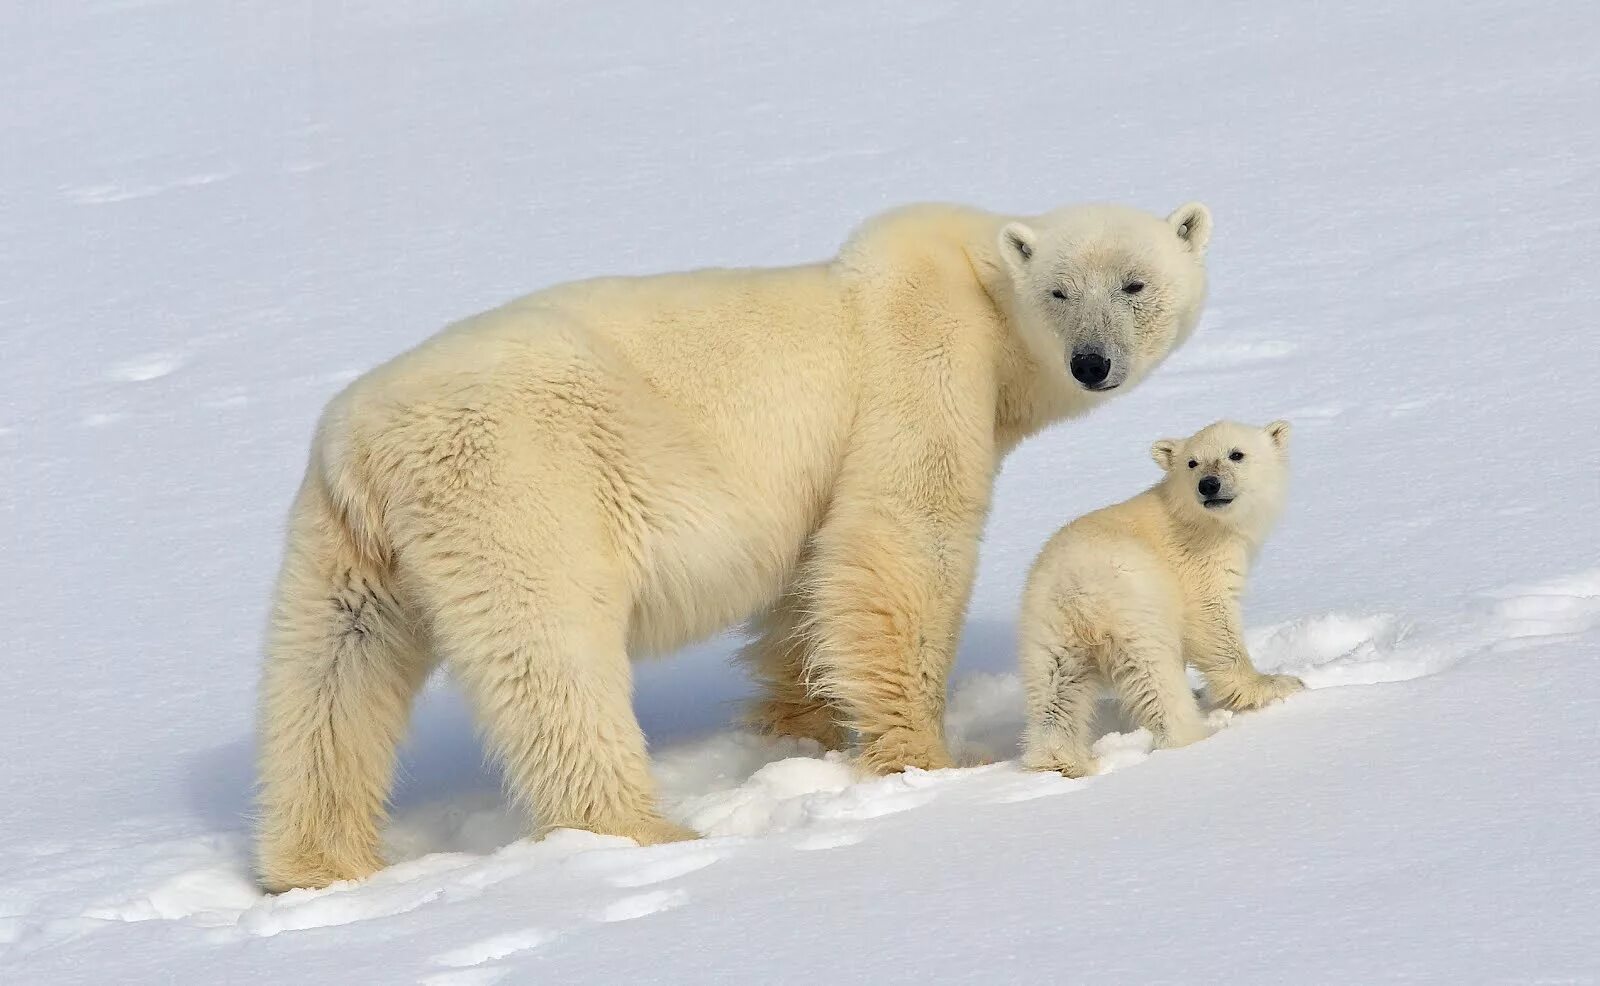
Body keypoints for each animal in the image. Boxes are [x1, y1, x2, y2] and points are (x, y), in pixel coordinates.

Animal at [259, 200, 1209, 896]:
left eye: (1135, 283)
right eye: (1060, 293)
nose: (1094, 363)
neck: (978, 289)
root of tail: (363, 448)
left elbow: (811, 585)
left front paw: (803, 729)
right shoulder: (923, 361)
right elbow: (902, 538)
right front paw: (931, 761)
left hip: (342, 544)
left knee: (331, 680)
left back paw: (319, 865)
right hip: (515, 488)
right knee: (552, 662)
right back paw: (645, 830)